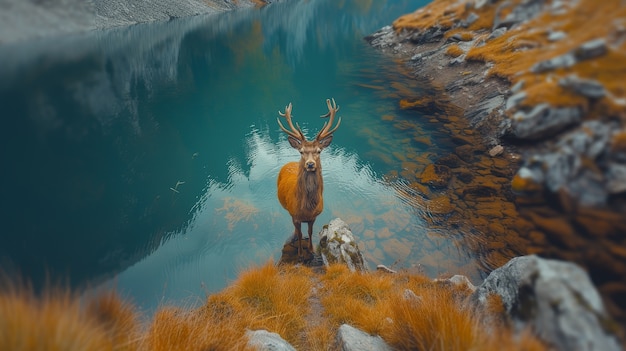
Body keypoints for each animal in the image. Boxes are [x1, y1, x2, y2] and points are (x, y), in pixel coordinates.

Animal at [276, 97, 338, 260]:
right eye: (301, 151)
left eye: (319, 151)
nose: (310, 164)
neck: (306, 208)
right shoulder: (295, 215)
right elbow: (300, 233)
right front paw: (299, 253)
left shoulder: (314, 217)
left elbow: (309, 232)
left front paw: (310, 250)